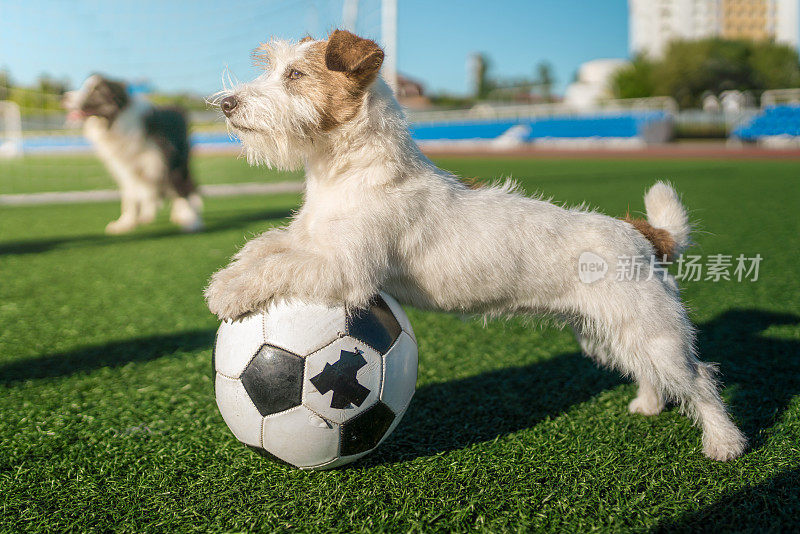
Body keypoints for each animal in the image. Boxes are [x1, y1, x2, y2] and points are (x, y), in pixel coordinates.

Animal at [64, 74, 205, 233]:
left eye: (94, 91)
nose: (64, 97)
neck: (116, 120)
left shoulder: (169, 163)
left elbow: (182, 192)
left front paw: (192, 221)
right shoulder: (126, 167)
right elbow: (130, 197)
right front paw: (125, 224)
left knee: (186, 187)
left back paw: (183, 213)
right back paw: (148, 215)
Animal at [203, 31, 748, 462]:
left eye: (295, 74)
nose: (225, 104)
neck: (349, 171)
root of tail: (643, 234)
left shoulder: (345, 269)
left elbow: (281, 265)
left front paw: (228, 292)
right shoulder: (309, 240)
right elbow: (267, 247)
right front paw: (230, 275)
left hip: (654, 332)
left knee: (700, 379)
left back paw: (724, 443)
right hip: (610, 334)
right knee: (650, 373)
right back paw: (650, 404)